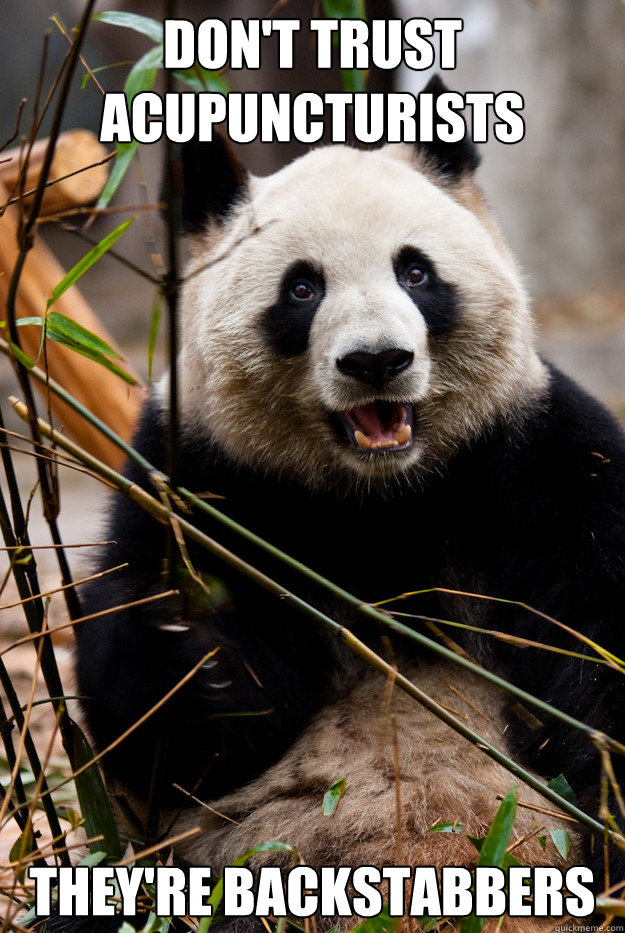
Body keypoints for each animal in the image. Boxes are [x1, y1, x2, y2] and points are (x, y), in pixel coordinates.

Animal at [68, 76, 624, 932]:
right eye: (302, 287)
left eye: (416, 272)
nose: (376, 361)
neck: (380, 492)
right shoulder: (203, 483)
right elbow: (176, 741)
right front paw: (180, 637)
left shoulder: (537, 464)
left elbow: (597, 656)